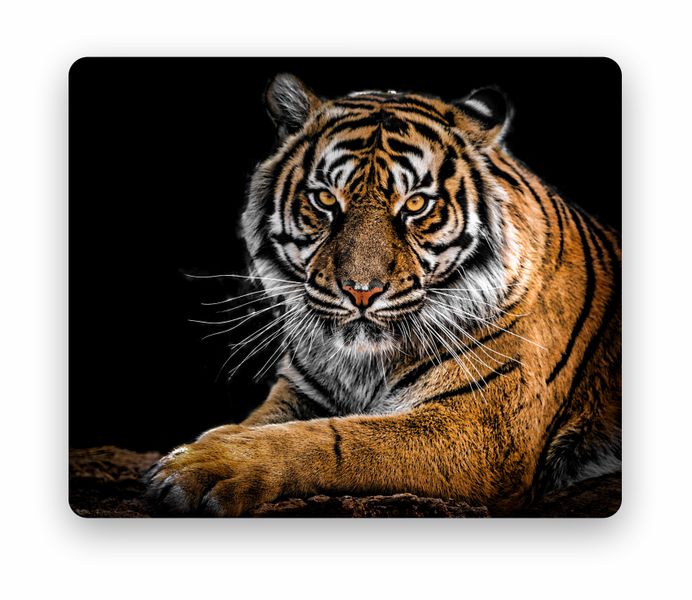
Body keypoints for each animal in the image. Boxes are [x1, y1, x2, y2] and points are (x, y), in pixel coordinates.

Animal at [145, 73, 621, 517]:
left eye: (415, 204)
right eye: (324, 200)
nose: (361, 292)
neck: (363, 364)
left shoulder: (482, 429)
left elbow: (338, 440)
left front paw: (202, 466)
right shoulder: (301, 390)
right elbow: (257, 422)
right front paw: (199, 449)